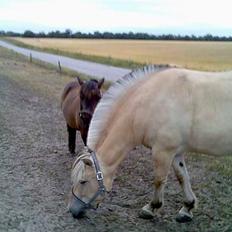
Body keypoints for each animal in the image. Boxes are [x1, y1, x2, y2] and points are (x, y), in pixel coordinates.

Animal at [68, 64, 232, 222]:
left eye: (83, 181)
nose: (72, 210)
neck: (148, 104)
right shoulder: (176, 152)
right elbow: (182, 177)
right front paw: (187, 208)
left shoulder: (163, 151)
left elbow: (159, 180)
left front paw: (151, 208)